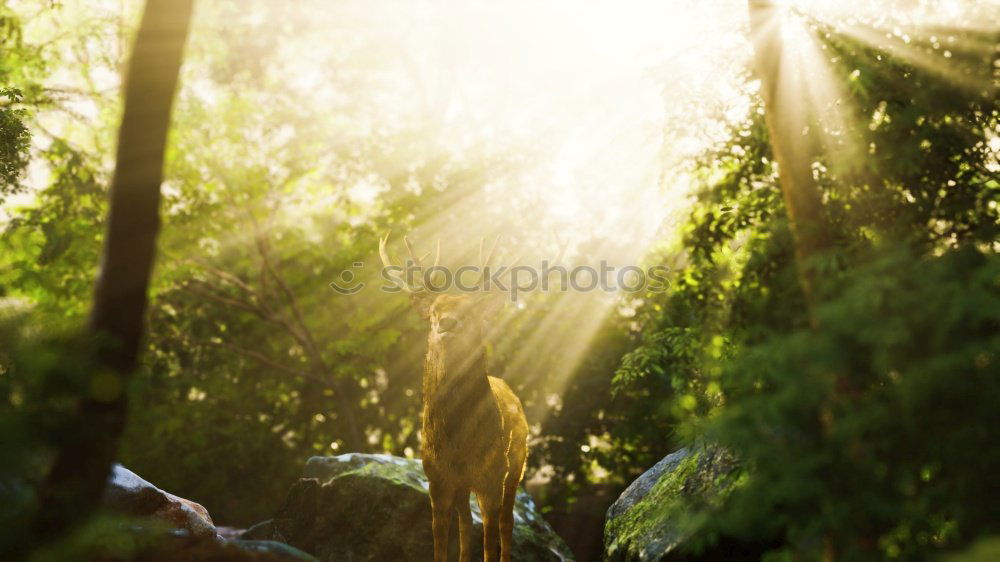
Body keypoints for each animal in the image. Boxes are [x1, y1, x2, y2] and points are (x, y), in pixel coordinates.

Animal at [378, 232, 548, 560]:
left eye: (471, 313)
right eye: (433, 312)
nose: (447, 322)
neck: (458, 445)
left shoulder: (492, 476)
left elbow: (490, 540)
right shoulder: (436, 477)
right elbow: (441, 539)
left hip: (516, 464)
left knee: (505, 523)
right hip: (464, 485)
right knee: (466, 522)